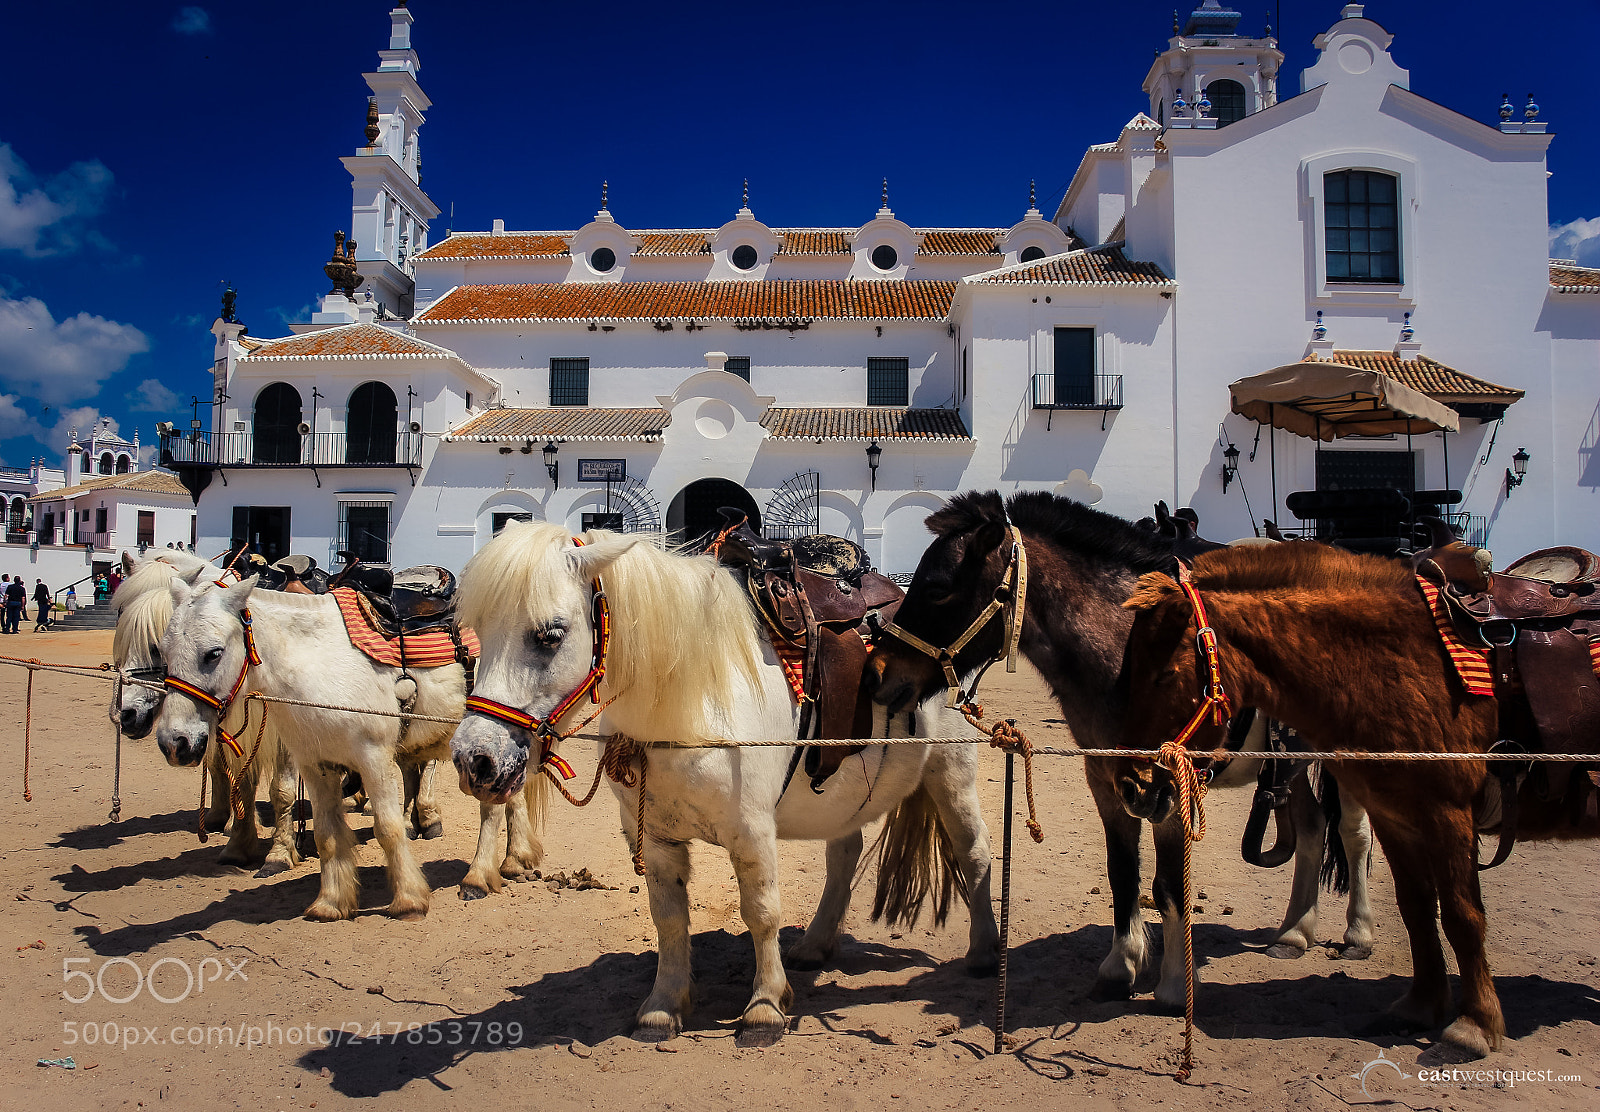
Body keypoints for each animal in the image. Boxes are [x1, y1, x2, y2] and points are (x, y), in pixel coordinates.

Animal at [151, 574, 537, 918]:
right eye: (163, 651)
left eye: (213, 653)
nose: (175, 742)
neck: (319, 664)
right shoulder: (314, 765)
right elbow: (327, 834)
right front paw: (332, 902)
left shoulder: (373, 759)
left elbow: (388, 828)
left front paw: (410, 900)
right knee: (512, 798)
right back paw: (516, 860)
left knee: (490, 810)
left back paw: (477, 878)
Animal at [448, 522, 998, 1046]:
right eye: (477, 633)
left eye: (550, 635)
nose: (476, 759)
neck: (689, 703)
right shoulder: (654, 836)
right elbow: (669, 918)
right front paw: (663, 1008)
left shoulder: (751, 830)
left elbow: (761, 912)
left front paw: (765, 1007)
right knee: (843, 855)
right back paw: (816, 945)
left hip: (953, 771)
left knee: (974, 852)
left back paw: (984, 954)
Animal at [865, 490, 1374, 1014]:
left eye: (938, 588)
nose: (876, 672)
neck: (1127, 652)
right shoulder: (1108, 779)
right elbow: (1122, 872)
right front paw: (1120, 967)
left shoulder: (1170, 785)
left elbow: (1169, 884)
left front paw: (1173, 986)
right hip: (1289, 767)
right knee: (1313, 827)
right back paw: (1294, 933)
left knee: (1354, 834)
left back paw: (1357, 934)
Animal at [1116, 541, 1600, 1057]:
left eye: (1164, 675)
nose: (1132, 787)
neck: (1407, 663)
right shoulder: (1396, 816)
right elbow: (1415, 908)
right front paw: (1418, 1008)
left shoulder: (1449, 814)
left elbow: (1462, 916)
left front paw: (1473, 1026)